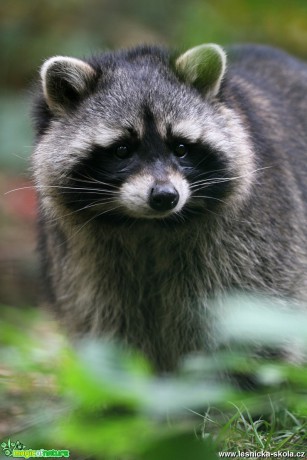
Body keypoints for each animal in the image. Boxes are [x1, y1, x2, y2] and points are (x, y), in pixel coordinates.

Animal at [32, 45, 307, 372]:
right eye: (122, 150)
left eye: (181, 148)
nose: (165, 196)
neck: (149, 225)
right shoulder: (86, 264)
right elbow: (110, 332)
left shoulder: (257, 240)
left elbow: (255, 330)